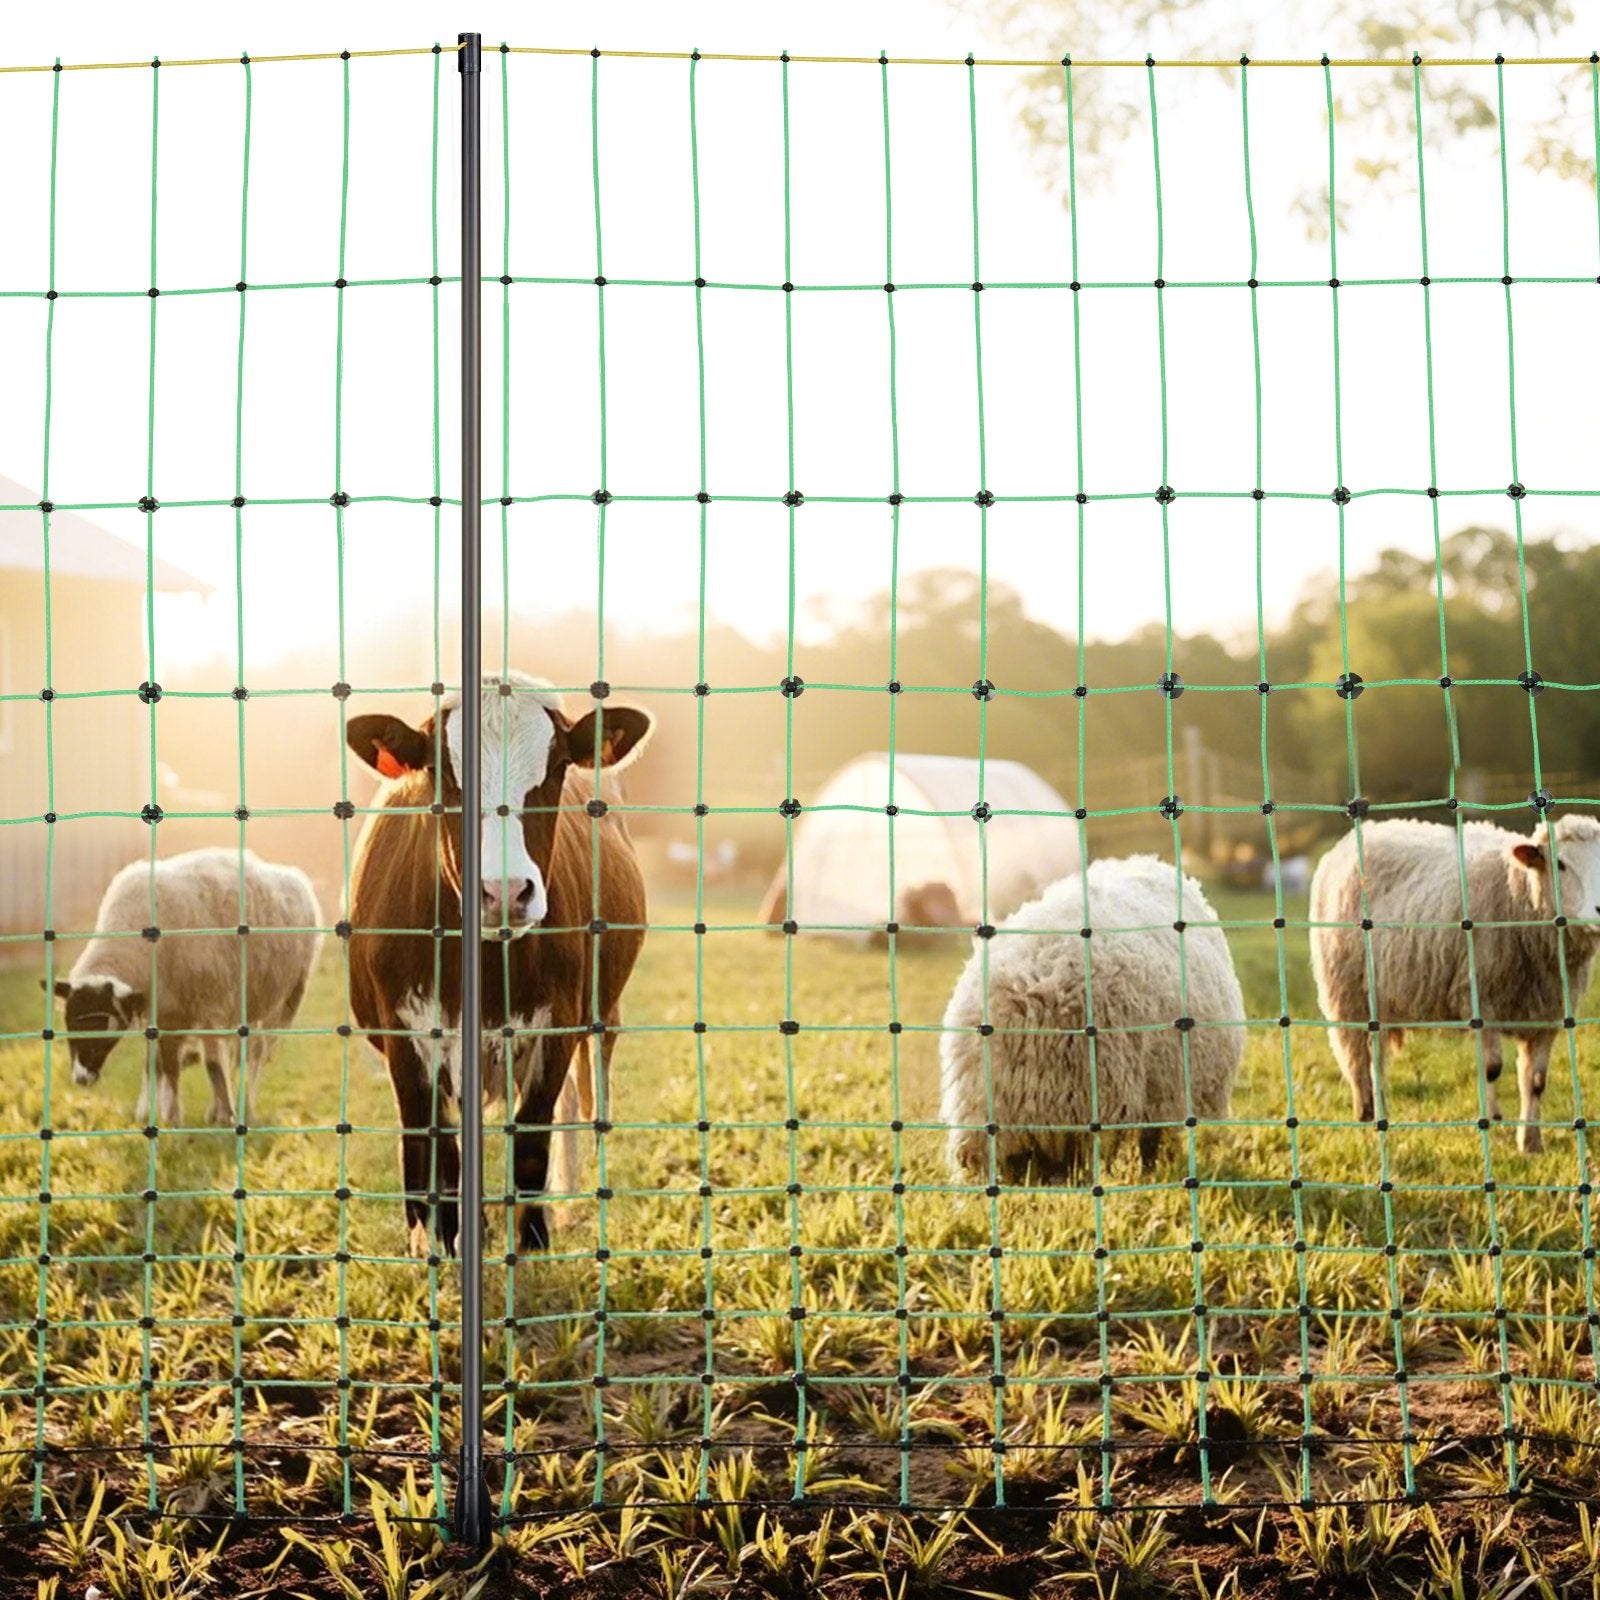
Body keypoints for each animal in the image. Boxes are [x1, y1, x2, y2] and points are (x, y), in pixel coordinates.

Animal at [46, 847, 322, 1125]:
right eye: (70, 1022)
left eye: (104, 1025)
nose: (81, 1078)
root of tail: (296, 878)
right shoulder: (164, 1012)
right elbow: (161, 1065)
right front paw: (165, 1116)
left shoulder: (209, 1006)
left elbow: (211, 1066)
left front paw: (216, 1115)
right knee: (237, 1051)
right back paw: (218, 1108)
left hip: (285, 998)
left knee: (256, 1054)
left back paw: (245, 1108)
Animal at [1308, 815, 1600, 1152]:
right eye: (1560, 864)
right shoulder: (1480, 998)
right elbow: (1491, 1068)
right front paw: (1492, 1126)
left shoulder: (1548, 1014)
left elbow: (1536, 1082)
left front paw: (1530, 1143)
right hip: (1349, 993)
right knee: (1363, 1059)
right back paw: (1369, 1113)